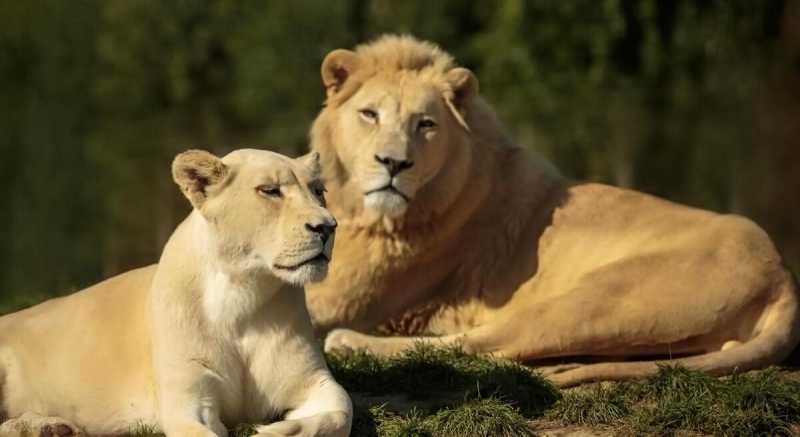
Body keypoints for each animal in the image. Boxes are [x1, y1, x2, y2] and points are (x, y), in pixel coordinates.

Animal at [0, 149, 352, 437]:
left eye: (319, 191)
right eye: (270, 190)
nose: (328, 227)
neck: (242, 296)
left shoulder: (312, 380)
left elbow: (341, 411)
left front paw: (279, 431)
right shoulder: (187, 399)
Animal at [305, 35, 800, 387]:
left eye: (425, 124)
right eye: (369, 114)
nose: (393, 163)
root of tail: (783, 273)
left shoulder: (343, 296)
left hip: (597, 299)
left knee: (483, 344)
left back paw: (350, 344)